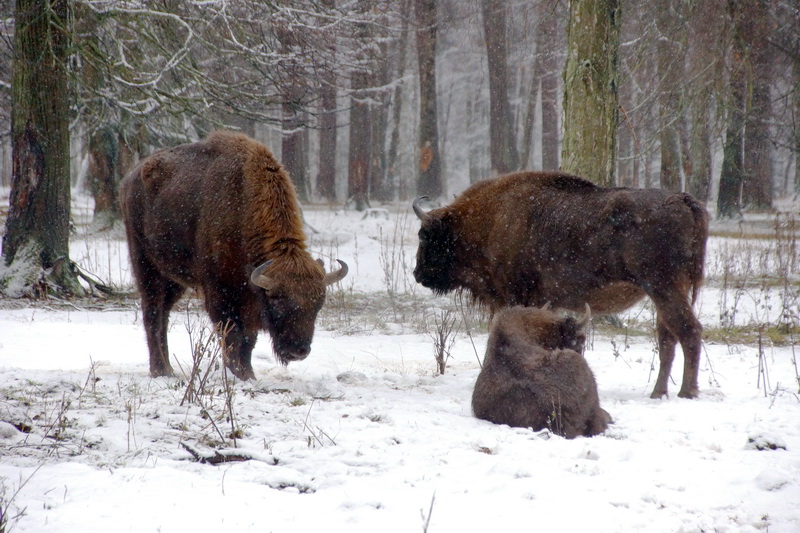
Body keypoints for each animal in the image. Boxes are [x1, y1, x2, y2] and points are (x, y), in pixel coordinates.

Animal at [119, 130, 346, 378]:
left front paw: (248, 374)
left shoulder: (250, 299)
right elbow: (231, 334)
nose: (299, 351)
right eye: (278, 300)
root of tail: (129, 178)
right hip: (146, 266)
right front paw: (238, 374)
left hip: (173, 278)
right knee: (152, 311)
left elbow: (248, 339)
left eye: (318, 303)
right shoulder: (221, 293)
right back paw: (160, 370)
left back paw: (168, 368)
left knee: (163, 313)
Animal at [412, 172, 708, 396]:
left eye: (424, 235)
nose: (417, 274)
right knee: (668, 336)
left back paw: (687, 392)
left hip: (664, 288)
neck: (487, 219)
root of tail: (683, 199)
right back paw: (659, 392)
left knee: (688, 331)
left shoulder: (513, 296)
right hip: (664, 292)